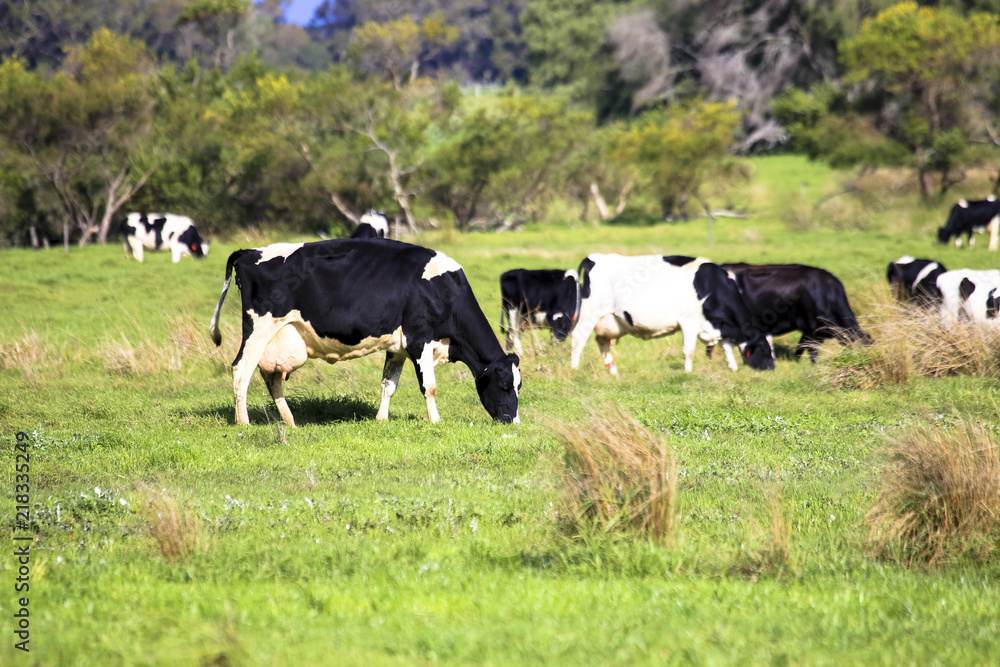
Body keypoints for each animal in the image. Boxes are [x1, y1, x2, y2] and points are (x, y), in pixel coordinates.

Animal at [211, 240, 524, 428]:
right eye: (504, 385)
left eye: (519, 386)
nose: (514, 421)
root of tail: (249, 252)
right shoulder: (419, 338)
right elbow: (430, 387)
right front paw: (435, 421)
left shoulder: (398, 346)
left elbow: (389, 384)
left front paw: (381, 419)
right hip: (258, 330)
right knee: (241, 371)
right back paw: (243, 422)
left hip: (278, 338)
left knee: (272, 378)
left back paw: (290, 422)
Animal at [720, 262, 876, 366]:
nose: (866, 364)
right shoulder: (812, 327)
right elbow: (812, 350)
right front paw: (814, 367)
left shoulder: (814, 331)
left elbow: (800, 347)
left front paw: (796, 362)